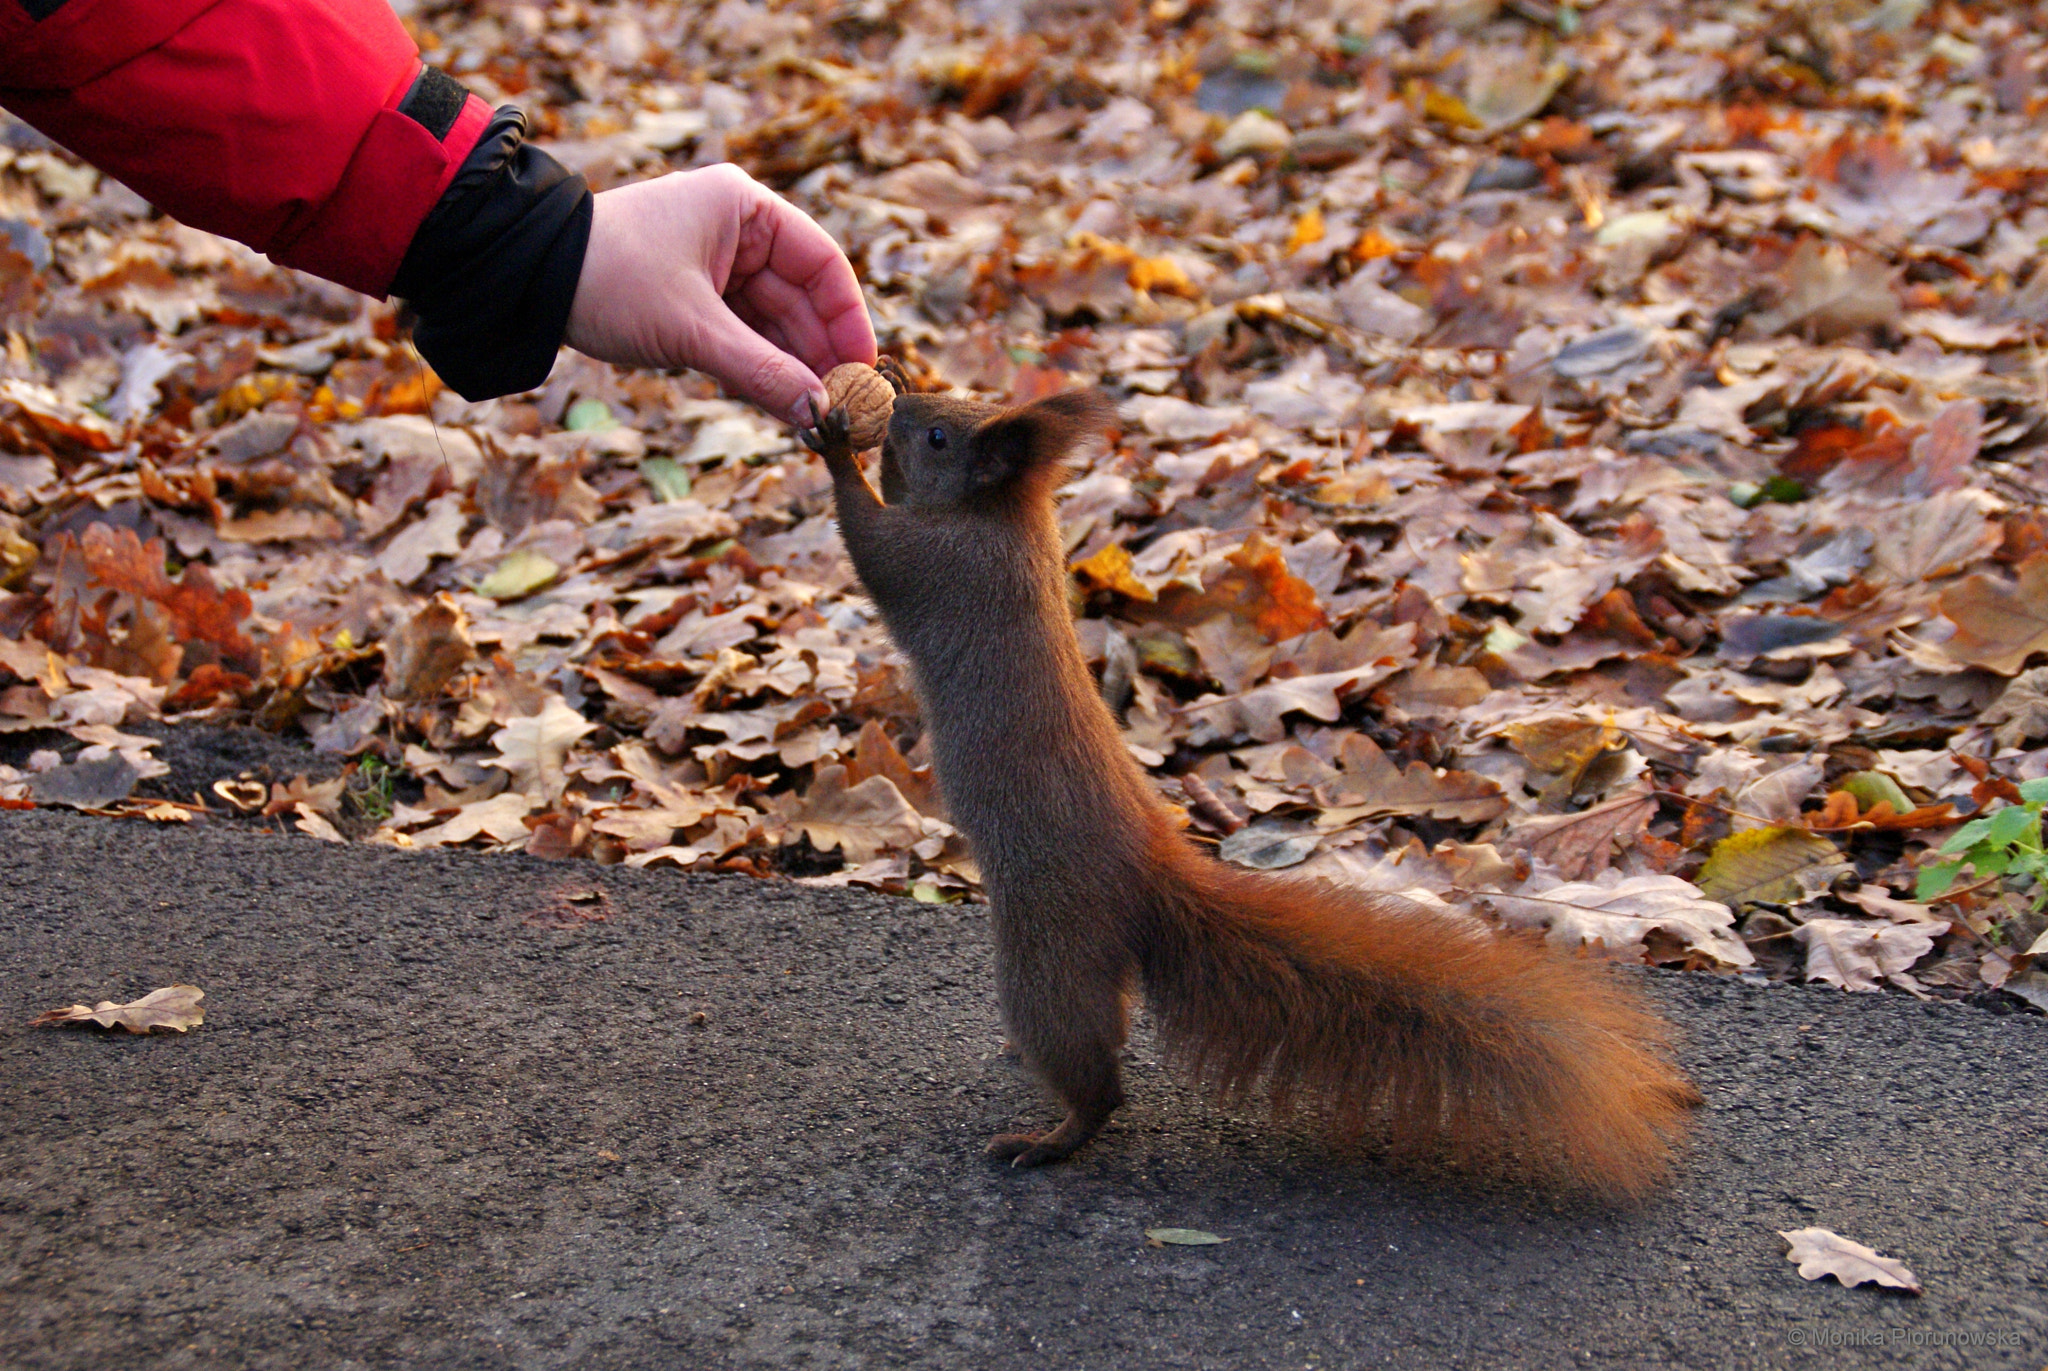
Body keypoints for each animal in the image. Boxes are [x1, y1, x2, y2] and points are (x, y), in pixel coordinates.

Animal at [798, 375, 1695, 1196]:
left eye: (939, 436)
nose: (901, 398)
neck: (1005, 520)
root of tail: (1151, 873)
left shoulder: (939, 569)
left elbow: (873, 545)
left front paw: (836, 442)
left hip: (1045, 947)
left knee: (1096, 1078)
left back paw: (1050, 1137)